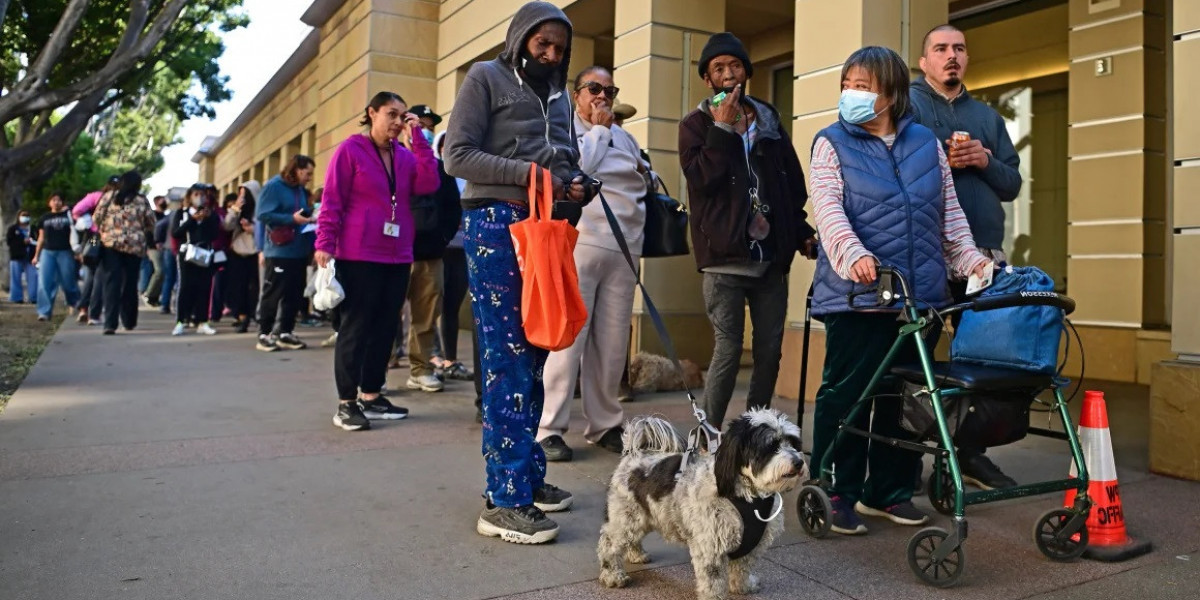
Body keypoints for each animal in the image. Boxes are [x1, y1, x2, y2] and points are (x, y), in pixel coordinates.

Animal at [597, 408, 806, 600]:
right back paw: (613, 576)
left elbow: (742, 568)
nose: (799, 462)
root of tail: (633, 454)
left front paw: (743, 586)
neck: (749, 496)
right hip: (625, 518)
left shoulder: (750, 545)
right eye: (771, 446)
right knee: (609, 545)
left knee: (633, 538)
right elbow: (713, 581)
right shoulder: (711, 547)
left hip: (641, 516)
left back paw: (636, 554)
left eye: (793, 443)